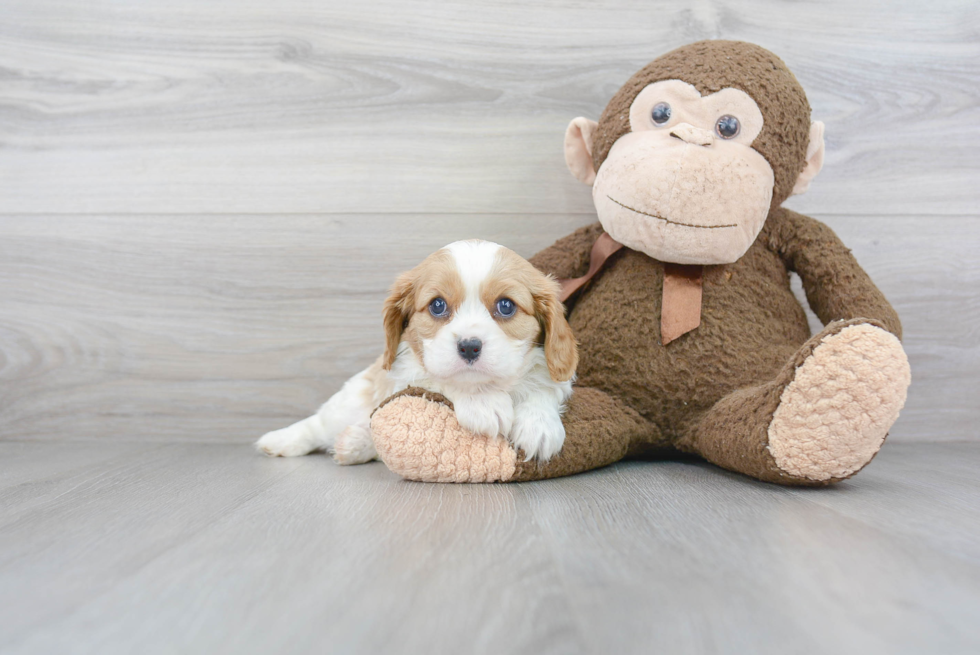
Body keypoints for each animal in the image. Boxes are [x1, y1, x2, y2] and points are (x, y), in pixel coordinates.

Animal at [256, 241, 580, 466]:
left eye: (506, 306)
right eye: (437, 305)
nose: (469, 346)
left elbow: (543, 386)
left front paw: (539, 425)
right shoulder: (404, 371)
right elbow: (438, 378)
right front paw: (482, 402)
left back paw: (354, 443)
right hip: (349, 401)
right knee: (318, 424)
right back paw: (282, 440)